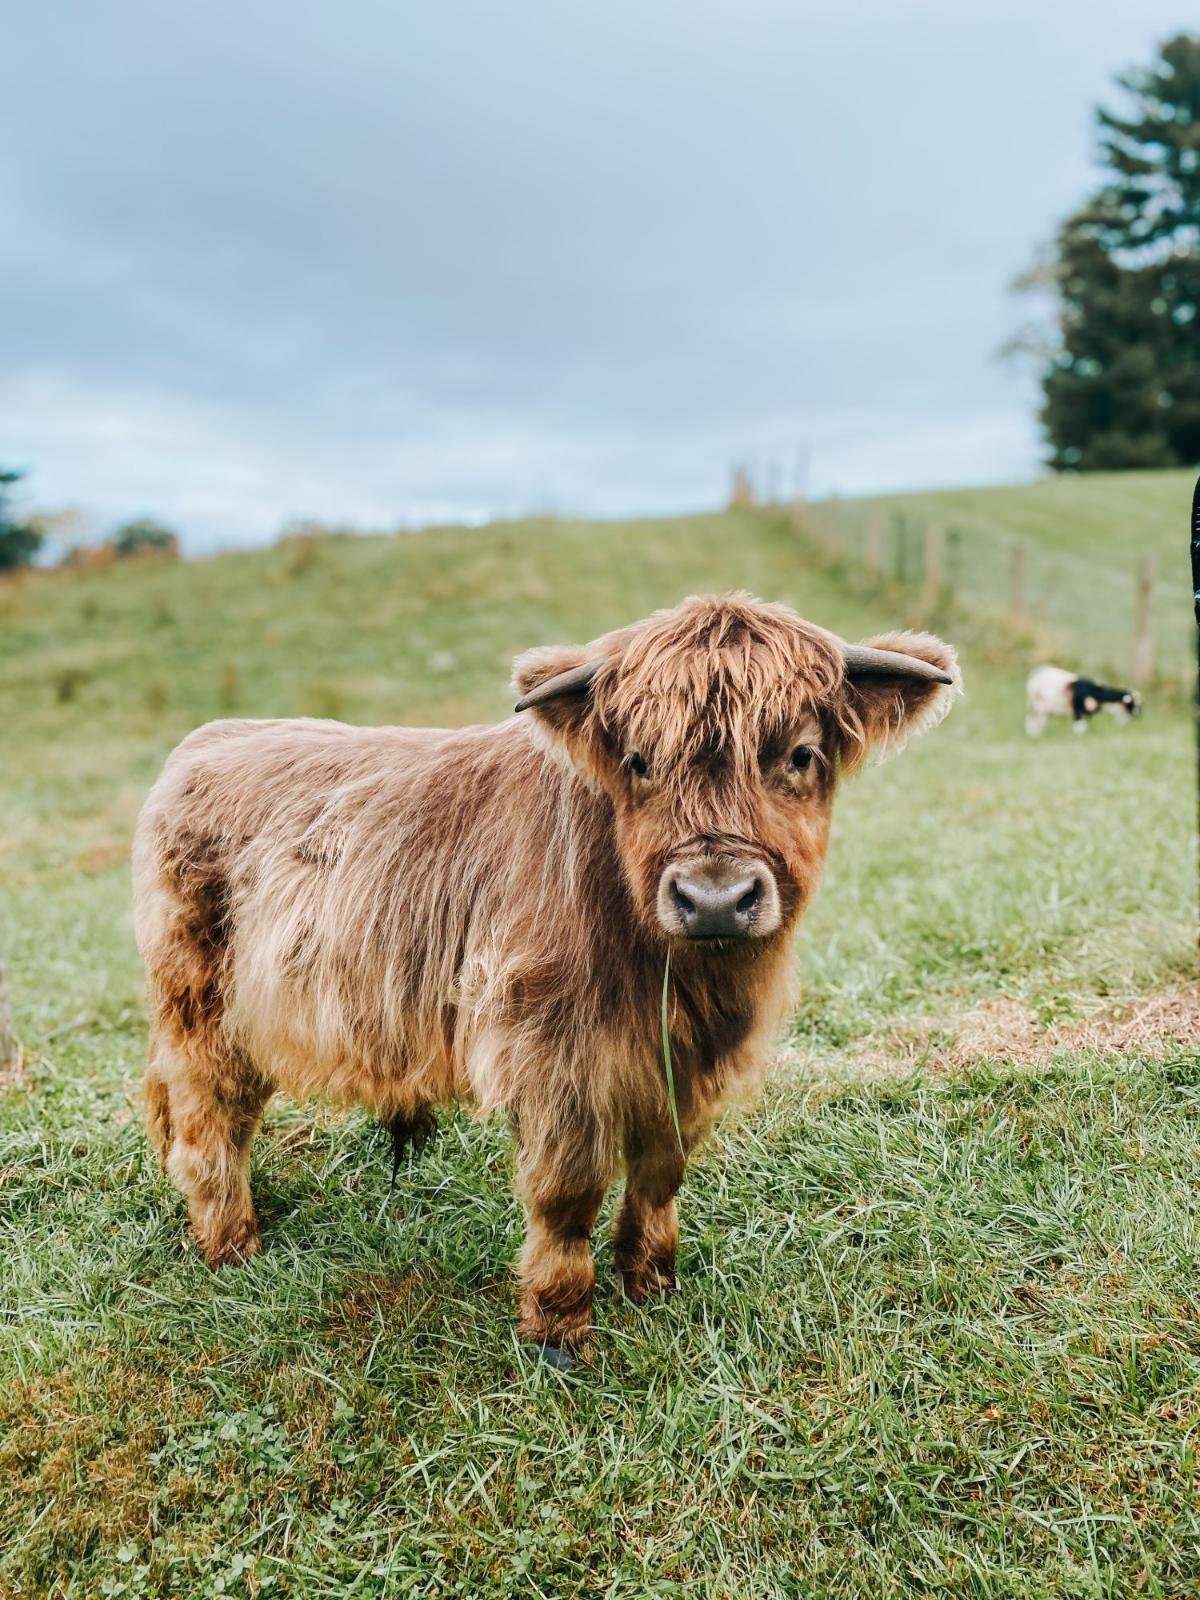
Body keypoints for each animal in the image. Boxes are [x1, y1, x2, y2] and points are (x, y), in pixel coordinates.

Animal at [133, 593, 959, 1361]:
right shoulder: (553, 1056)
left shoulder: (684, 1066)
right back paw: (232, 1241)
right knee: (210, 1113)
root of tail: (201, 744)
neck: (677, 980)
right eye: (638, 762)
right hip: (201, 1002)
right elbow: (568, 1194)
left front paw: (651, 1280)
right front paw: (559, 1330)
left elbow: (661, 1171)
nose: (716, 898)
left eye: (800, 754)